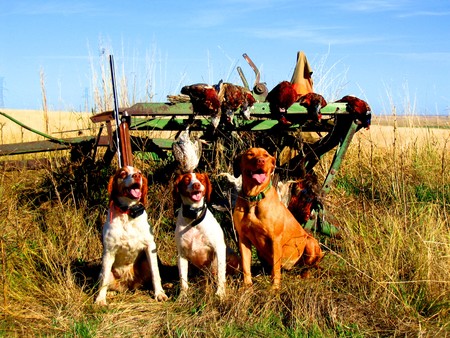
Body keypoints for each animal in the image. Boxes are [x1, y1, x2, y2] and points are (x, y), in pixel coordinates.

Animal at [95, 165, 167, 304]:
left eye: (139, 172)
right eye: (123, 173)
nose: (137, 176)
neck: (129, 213)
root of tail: (128, 284)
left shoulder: (150, 247)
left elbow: (156, 273)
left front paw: (159, 293)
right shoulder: (109, 252)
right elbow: (104, 279)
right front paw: (100, 299)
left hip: (145, 263)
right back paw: (110, 293)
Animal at [232, 147, 324, 288]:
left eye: (265, 155)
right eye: (250, 154)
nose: (261, 161)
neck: (254, 198)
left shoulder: (275, 239)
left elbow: (275, 268)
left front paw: (274, 288)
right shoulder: (243, 238)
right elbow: (246, 266)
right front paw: (246, 286)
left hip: (310, 242)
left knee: (306, 268)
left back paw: (303, 276)